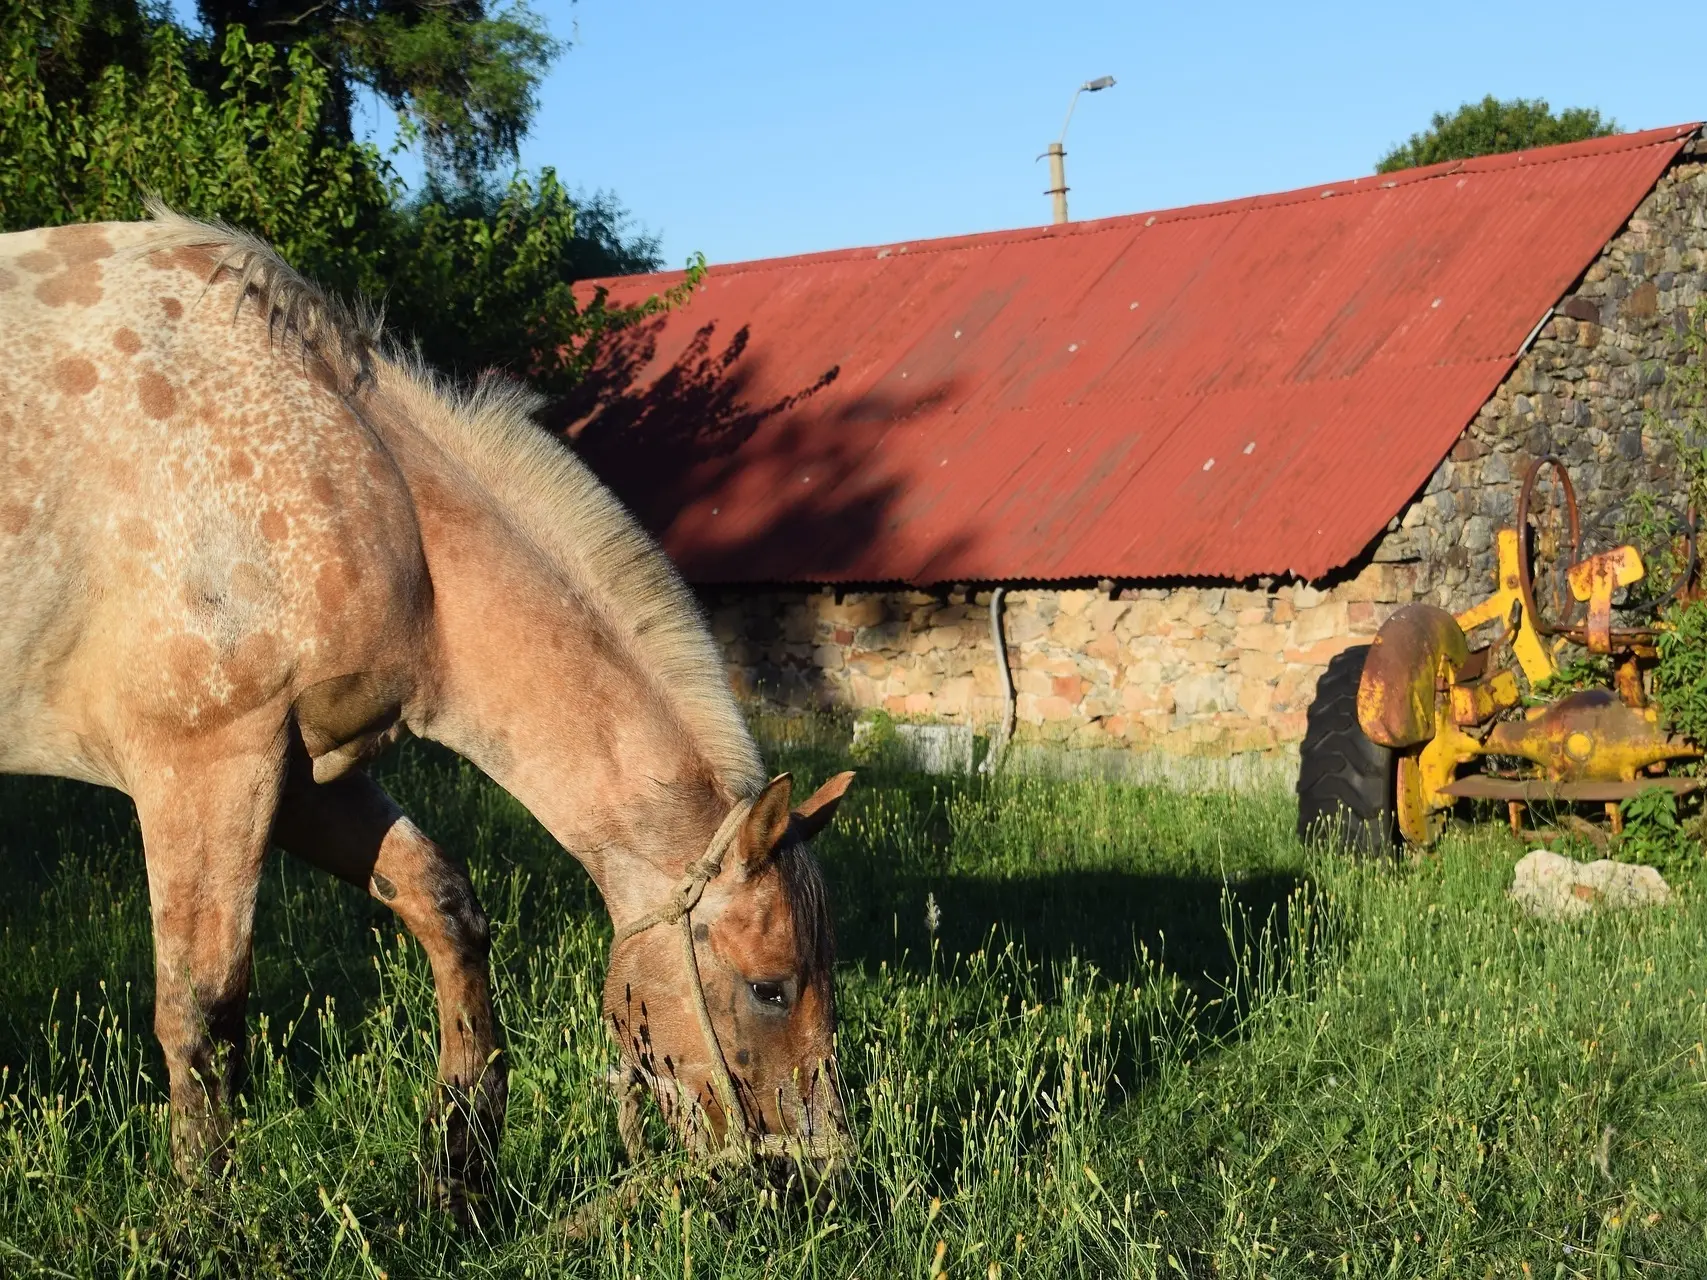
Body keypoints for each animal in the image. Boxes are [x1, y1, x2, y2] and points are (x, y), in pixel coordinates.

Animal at [0, 208, 853, 1215]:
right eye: (770, 988)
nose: (821, 1182)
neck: (352, 473)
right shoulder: (204, 765)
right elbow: (202, 1008)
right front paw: (209, 1218)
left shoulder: (304, 772)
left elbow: (445, 907)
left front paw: (462, 1171)